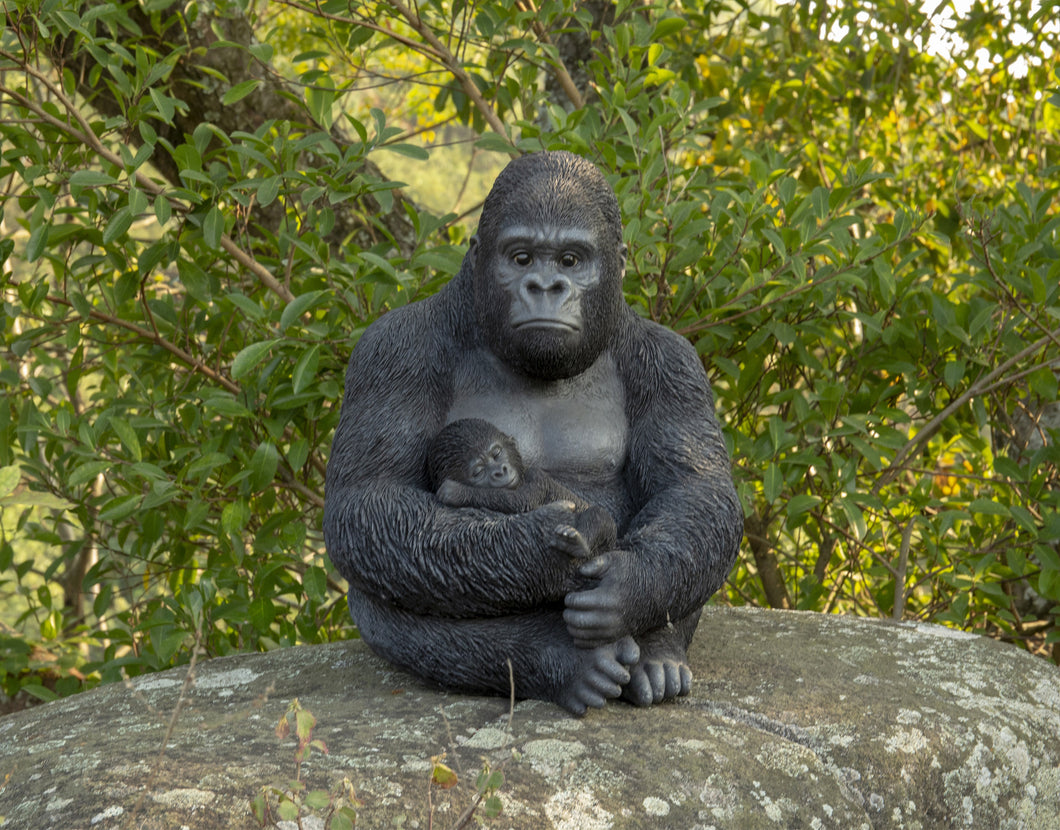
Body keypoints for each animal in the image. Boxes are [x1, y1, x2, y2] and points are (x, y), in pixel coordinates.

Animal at [426, 421, 619, 559]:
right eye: (478, 472)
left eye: (497, 453)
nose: (500, 471)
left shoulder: (536, 475)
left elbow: (523, 499)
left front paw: (456, 491)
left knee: (599, 515)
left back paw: (579, 543)